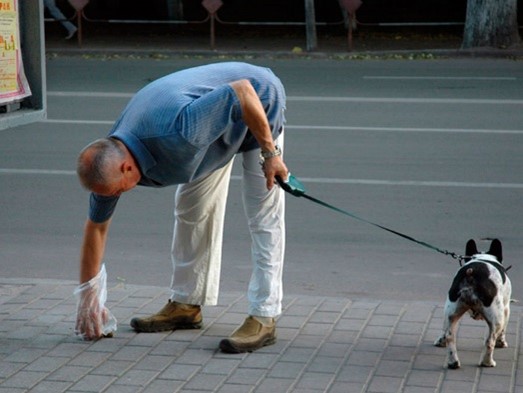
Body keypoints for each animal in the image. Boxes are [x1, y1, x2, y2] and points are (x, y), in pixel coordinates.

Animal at [434, 237, 512, 370]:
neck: (483, 257)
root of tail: (471, 273)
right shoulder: (506, 308)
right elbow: (503, 330)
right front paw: (501, 342)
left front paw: (440, 341)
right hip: (497, 316)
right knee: (490, 340)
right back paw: (487, 362)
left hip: (452, 310)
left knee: (450, 336)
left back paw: (453, 362)